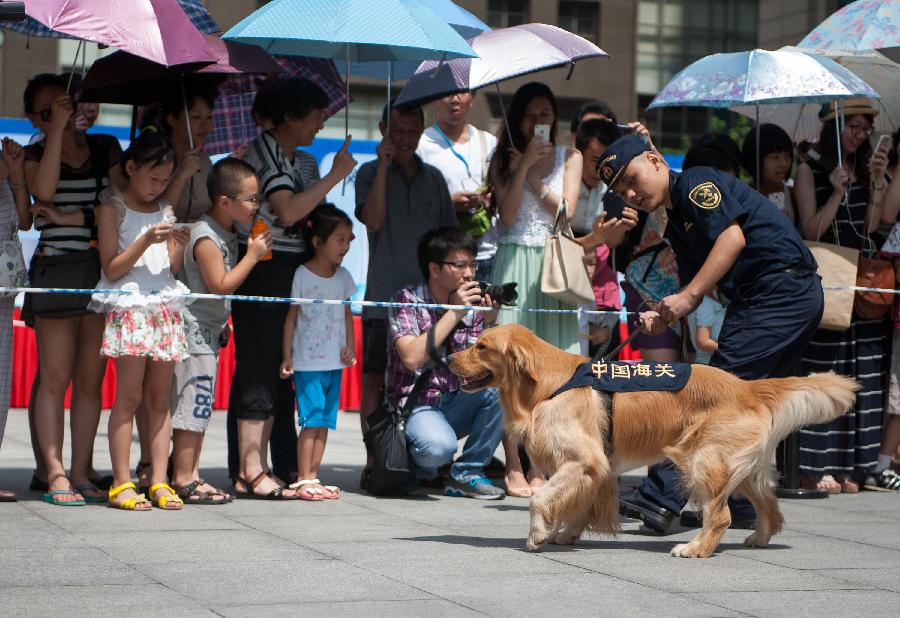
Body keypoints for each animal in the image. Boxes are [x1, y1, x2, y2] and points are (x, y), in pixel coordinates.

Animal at [450, 324, 856, 556]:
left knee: (721, 514)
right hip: (740, 468)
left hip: (701, 459)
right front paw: (566, 535)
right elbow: (579, 503)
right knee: (770, 504)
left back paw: (696, 549)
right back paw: (758, 538)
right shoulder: (594, 468)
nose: (449, 358)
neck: (548, 385)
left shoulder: (584, 460)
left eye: (481, 346)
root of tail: (748, 387)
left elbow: (540, 499)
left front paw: (538, 535)